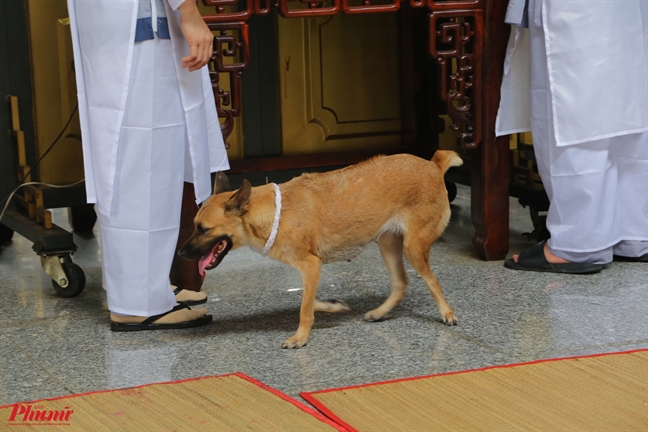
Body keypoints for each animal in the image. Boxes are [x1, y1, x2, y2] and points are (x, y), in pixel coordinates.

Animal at [178, 151, 460, 348]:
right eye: (194, 226)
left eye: (203, 229)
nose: (180, 254)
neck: (276, 212)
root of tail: (433, 164)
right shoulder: (310, 272)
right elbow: (308, 302)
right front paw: (333, 307)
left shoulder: (311, 267)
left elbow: (304, 308)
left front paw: (301, 337)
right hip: (388, 245)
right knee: (401, 283)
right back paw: (380, 313)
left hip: (413, 249)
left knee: (431, 280)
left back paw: (447, 313)